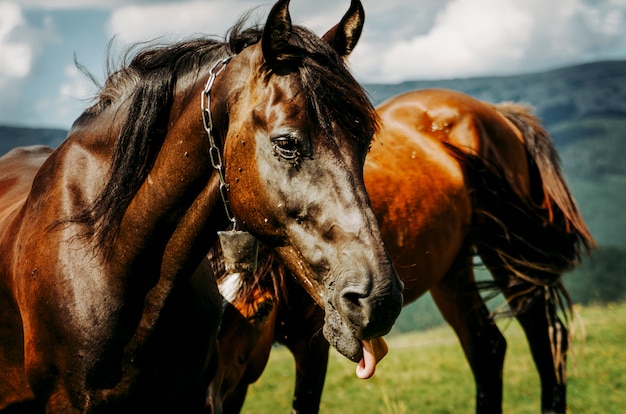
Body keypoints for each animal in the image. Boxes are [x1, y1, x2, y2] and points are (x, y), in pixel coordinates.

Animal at [211, 88, 596, 414]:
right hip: (451, 271)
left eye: (261, 310)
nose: (209, 396)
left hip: (509, 253)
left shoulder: (311, 345)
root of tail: (496, 112)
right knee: (487, 348)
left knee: (547, 336)